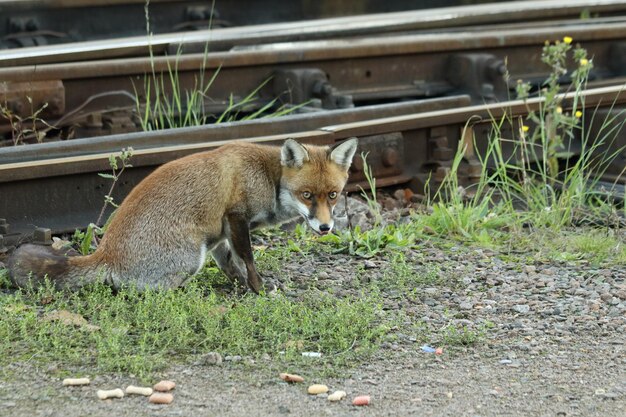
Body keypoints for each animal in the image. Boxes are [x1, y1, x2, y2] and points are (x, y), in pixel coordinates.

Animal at [8, 136, 356, 292]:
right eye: (306, 195)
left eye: (333, 195)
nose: (325, 228)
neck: (267, 176)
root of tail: (106, 253)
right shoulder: (236, 216)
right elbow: (248, 259)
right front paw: (259, 289)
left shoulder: (222, 231)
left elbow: (230, 263)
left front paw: (240, 285)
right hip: (191, 255)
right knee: (142, 291)